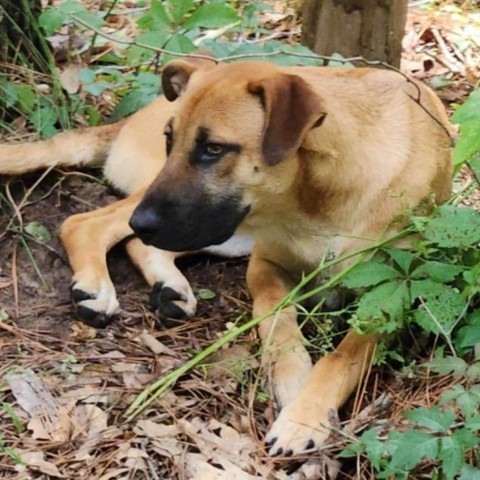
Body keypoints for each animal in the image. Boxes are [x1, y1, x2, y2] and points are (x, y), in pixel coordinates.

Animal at [0, 55, 452, 454]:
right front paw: (293, 381)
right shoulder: (265, 265)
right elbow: (276, 319)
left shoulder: (389, 298)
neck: (318, 194)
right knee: (86, 223)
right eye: (171, 139)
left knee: (130, 240)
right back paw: (97, 285)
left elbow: (344, 357)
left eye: (214, 149)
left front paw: (303, 416)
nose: (143, 219)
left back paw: (168, 286)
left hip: (217, 231)